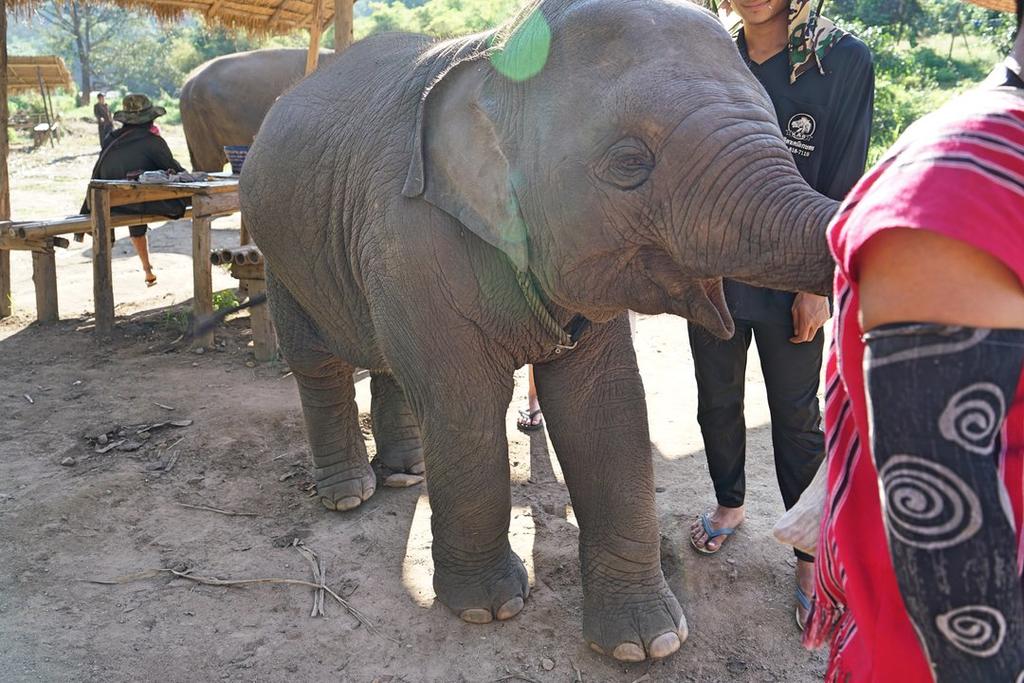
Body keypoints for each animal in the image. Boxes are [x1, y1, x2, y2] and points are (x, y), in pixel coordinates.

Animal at [240, 0, 839, 663]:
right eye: (629, 163)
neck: (497, 52)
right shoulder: (410, 235)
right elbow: (464, 401)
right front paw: (489, 610)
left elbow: (605, 404)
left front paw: (647, 643)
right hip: (278, 249)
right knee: (318, 364)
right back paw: (350, 494)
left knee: (390, 362)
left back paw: (406, 474)